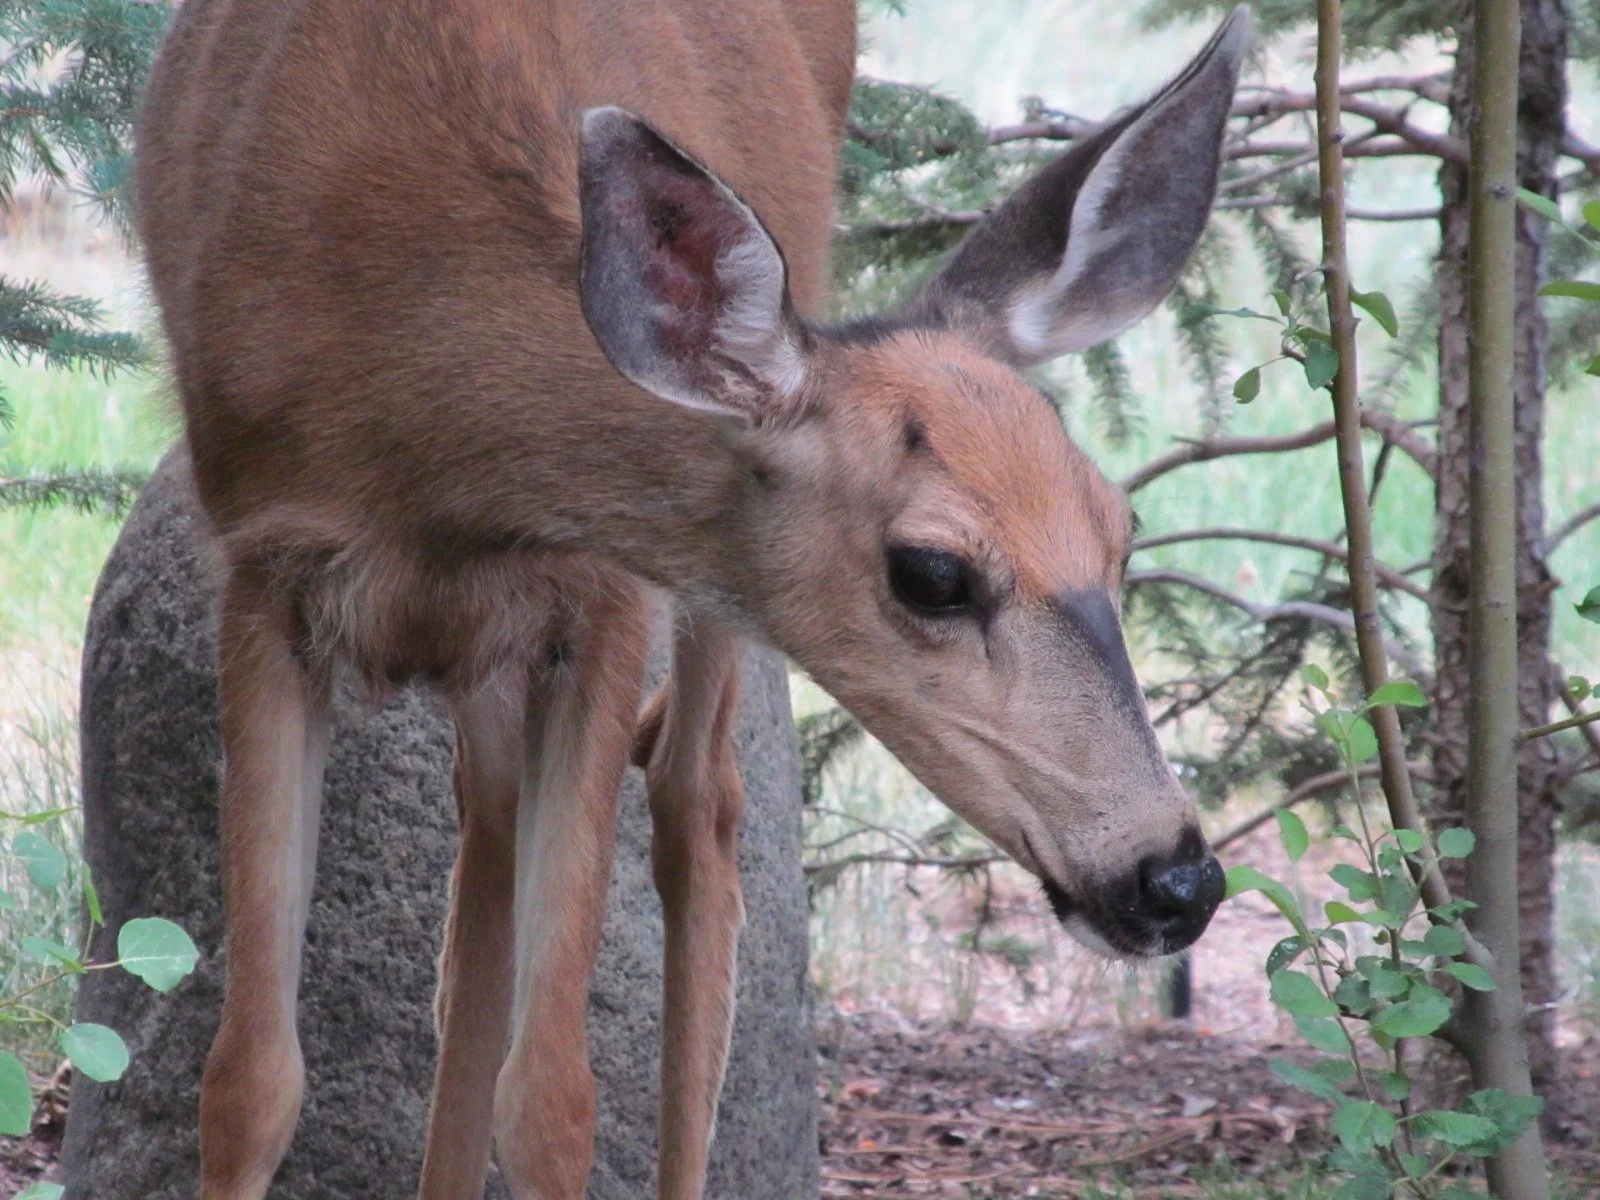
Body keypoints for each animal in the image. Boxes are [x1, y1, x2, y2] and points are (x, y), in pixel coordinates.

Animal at [132, 0, 1250, 1196]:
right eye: (932, 572)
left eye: (1120, 534)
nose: (1177, 876)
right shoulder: (257, 565)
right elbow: (247, 1081)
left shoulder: (609, 595)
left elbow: (551, 1101)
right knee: (487, 840)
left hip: (698, 592)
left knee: (695, 814)